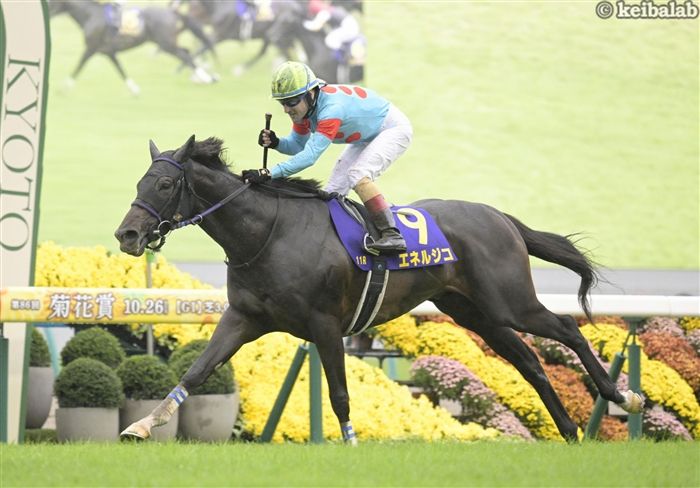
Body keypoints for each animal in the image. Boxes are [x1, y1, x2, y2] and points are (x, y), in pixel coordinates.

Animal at [49, 0, 216, 95]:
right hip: (168, 43)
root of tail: (173, 12)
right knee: (187, 53)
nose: (48, 15)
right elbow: (120, 69)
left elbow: (79, 66)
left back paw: (206, 78)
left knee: (185, 55)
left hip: (166, 44)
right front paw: (134, 89)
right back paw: (203, 77)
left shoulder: (91, 48)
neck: (91, 15)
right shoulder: (109, 52)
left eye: (51, 2)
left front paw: (64, 87)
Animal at [114, 136, 644, 443]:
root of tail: (501, 217)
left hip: (509, 301)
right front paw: (140, 425)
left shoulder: (326, 324)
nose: (128, 235)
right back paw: (570, 430)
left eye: (165, 184)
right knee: (530, 362)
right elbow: (197, 372)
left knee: (567, 329)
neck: (269, 233)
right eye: (139, 181)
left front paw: (349, 445)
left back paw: (623, 398)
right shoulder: (243, 319)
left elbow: (339, 395)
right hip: (476, 312)